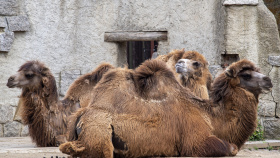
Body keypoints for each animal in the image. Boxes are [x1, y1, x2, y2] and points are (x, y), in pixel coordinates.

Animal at [59, 59, 272, 157]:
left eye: (258, 71)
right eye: (246, 75)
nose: (269, 80)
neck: (211, 117)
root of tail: (79, 118)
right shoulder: (196, 142)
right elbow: (231, 148)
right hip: (100, 132)